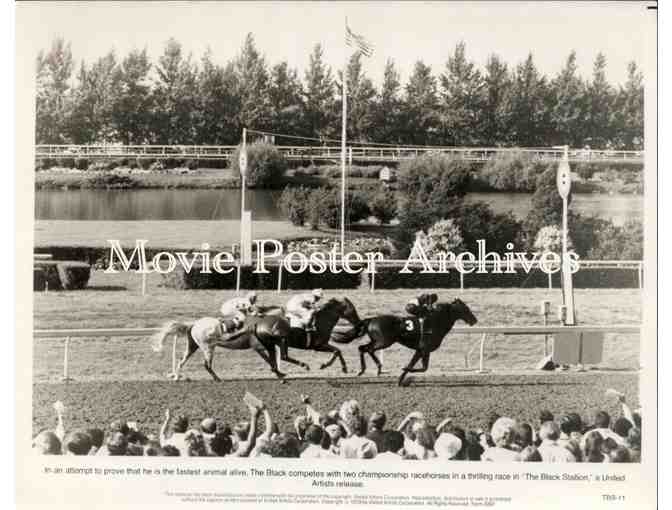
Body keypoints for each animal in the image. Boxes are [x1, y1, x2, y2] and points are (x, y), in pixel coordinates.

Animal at [330, 296, 478, 384]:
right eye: (465, 308)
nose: (474, 320)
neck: (437, 321)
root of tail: (371, 319)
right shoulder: (423, 349)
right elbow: (419, 367)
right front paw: (404, 373)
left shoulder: (423, 350)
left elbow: (421, 367)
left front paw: (402, 378)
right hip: (384, 342)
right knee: (366, 349)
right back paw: (370, 369)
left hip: (378, 341)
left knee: (363, 348)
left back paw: (372, 369)